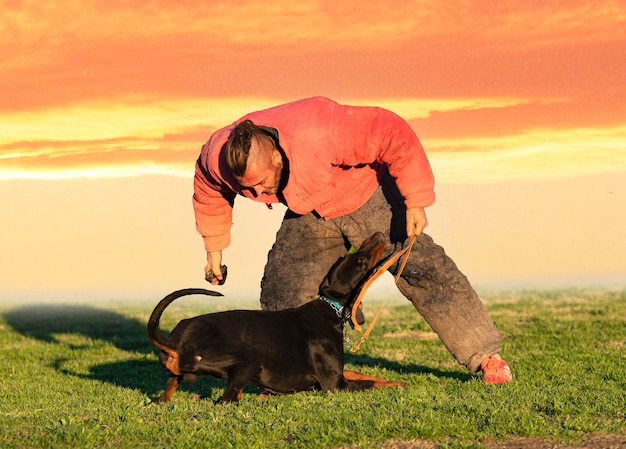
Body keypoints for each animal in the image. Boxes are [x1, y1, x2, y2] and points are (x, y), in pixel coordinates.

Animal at [149, 231, 408, 402]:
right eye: (362, 262)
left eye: (347, 258)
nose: (377, 235)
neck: (329, 308)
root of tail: (175, 340)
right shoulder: (335, 385)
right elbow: (370, 383)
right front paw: (399, 384)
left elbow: (365, 375)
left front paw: (398, 381)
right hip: (248, 356)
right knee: (226, 399)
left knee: (166, 396)